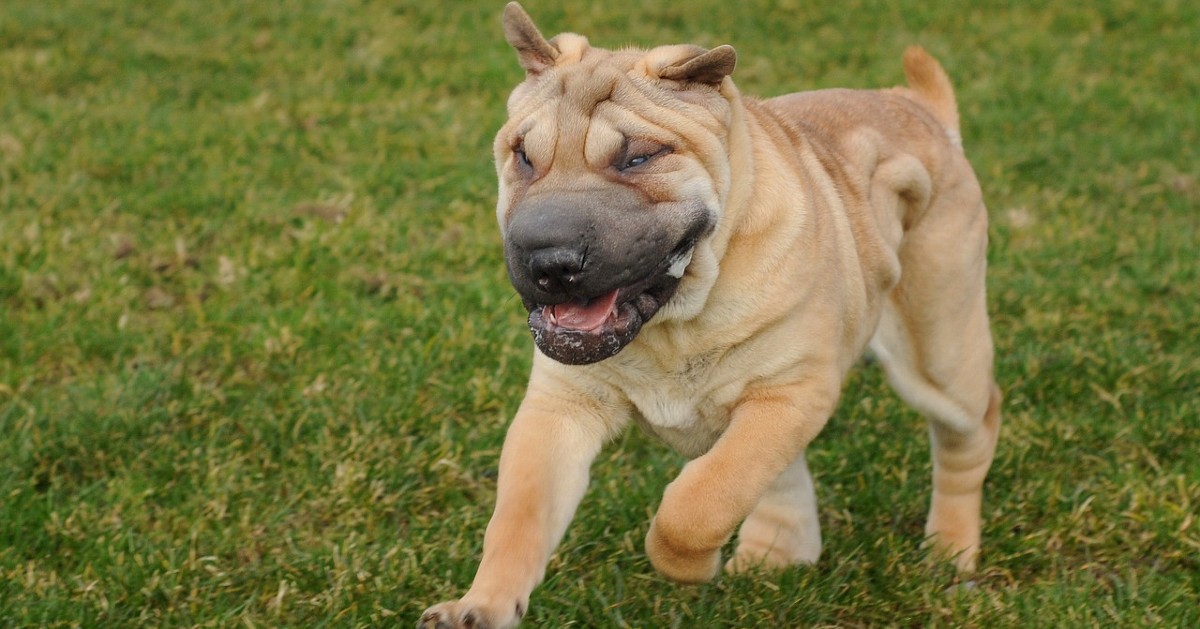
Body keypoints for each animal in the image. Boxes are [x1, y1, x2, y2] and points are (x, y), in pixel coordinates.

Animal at [417, 2, 998, 624]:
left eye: (640, 157)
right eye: (523, 156)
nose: (549, 260)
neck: (676, 325)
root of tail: (918, 107)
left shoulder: (789, 394)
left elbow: (699, 502)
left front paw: (692, 567)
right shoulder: (561, 406)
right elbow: (519, 519)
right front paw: (478, 607)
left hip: (940, 349)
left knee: (972, 430)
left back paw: (950, 551)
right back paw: (776, 555)